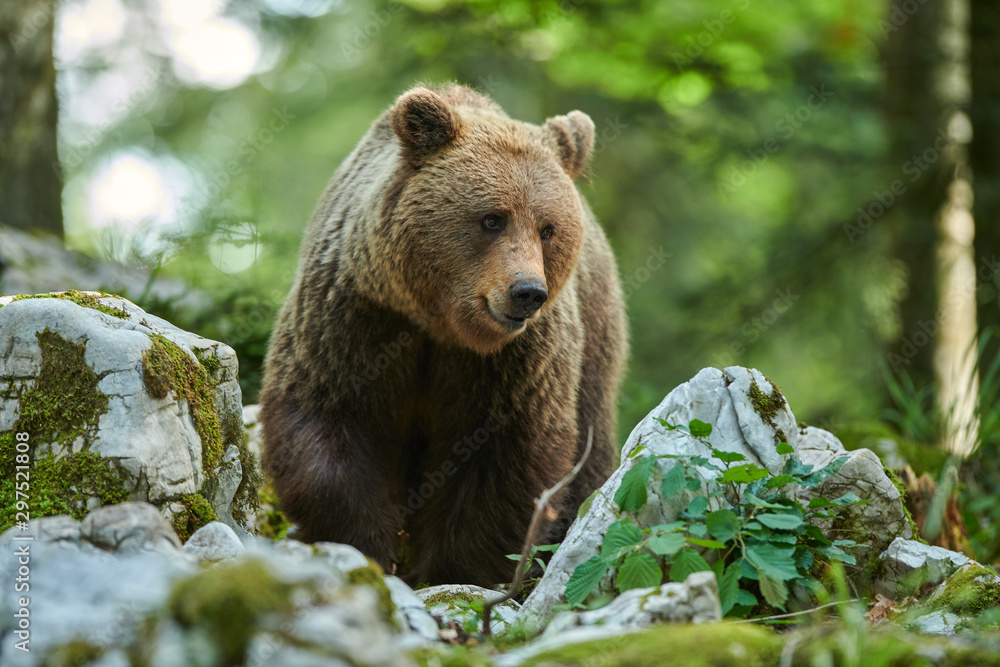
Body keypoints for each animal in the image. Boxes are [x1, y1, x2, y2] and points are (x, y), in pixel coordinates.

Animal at [260, 83, 628, 586]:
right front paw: (365, 546)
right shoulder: (357, 314)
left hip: (596, 336)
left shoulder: (514, 360)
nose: (527, 293)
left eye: (548, 228)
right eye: (492, 218)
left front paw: (453, 571)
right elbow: (329, 416)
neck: (439, 321)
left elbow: (501, 453)